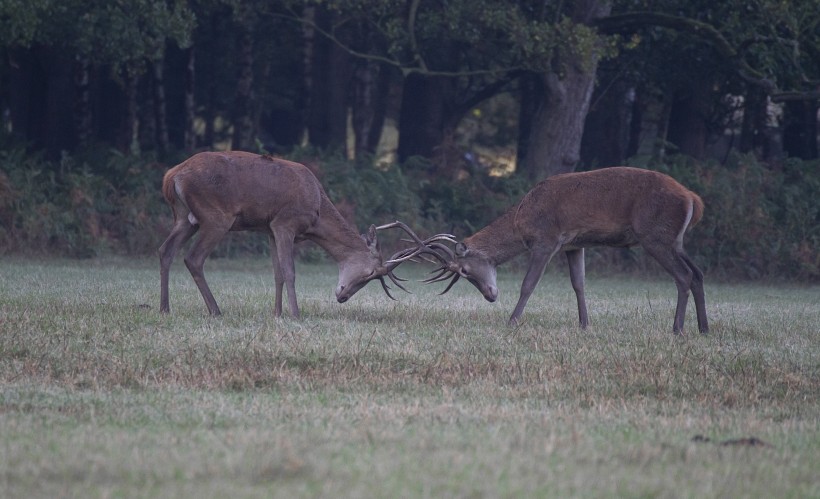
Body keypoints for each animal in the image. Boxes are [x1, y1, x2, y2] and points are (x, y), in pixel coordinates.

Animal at [159, 150, 422, 318]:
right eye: (370, 273)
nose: (342, 296)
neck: (317, 213)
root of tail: (171, 176)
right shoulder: (286, 222)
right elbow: (289, 271)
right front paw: (295, 314)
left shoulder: (269, 228)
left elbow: (277, 273)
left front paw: (277, 313)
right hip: (216, 217)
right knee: (193, 258)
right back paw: (215, 310)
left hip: (184, 218)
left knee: (165, 250)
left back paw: (164, 308)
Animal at [414, 166, 708, 334]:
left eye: (465, 271)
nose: (490, 296)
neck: (521, 221)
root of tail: (693, 199)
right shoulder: (574, 245)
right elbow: (579, 284)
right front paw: (585, 325)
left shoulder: (546, 240)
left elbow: (528, 284)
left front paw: (512, 322)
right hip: (675, 240)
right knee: (698, 272)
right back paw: (703, 328)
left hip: (655, 235)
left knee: (684, 275)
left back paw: (678, 329)